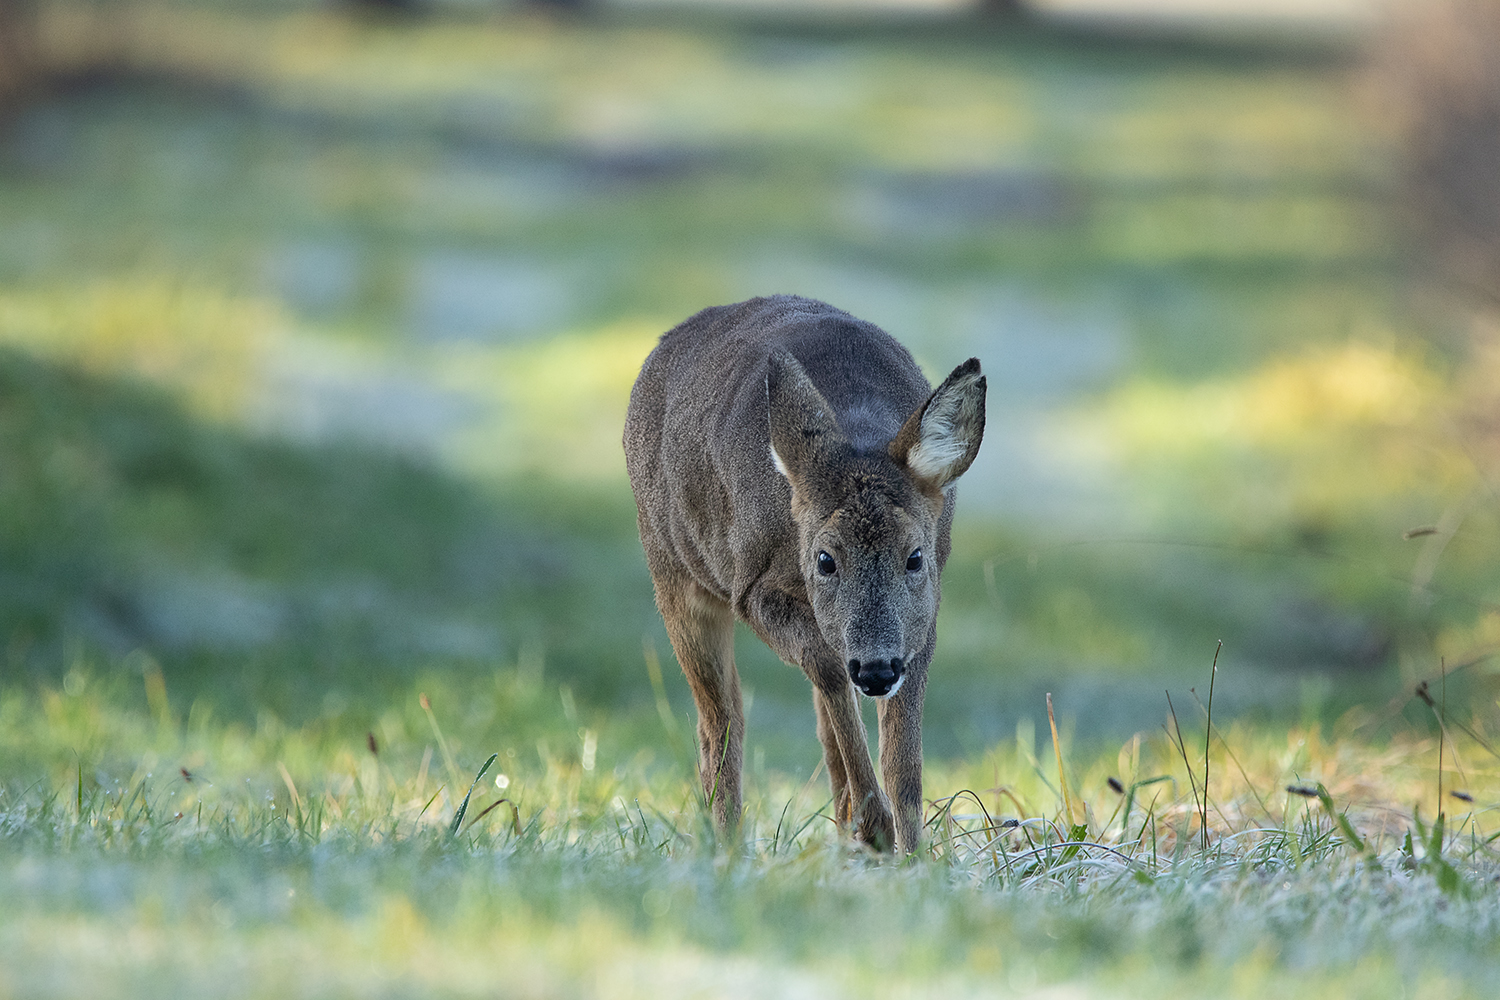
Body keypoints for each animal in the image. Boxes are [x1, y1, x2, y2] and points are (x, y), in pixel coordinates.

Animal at [621, 295, 984, 851]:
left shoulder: (923, 613)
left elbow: (903, 757)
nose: (876, 670)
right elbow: (827, 670)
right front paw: (876, 826)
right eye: (825, 559)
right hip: (673, 571)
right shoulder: (750, 587)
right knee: (721, 721)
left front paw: (910, 852)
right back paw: (728, 846)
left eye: (915, 557)